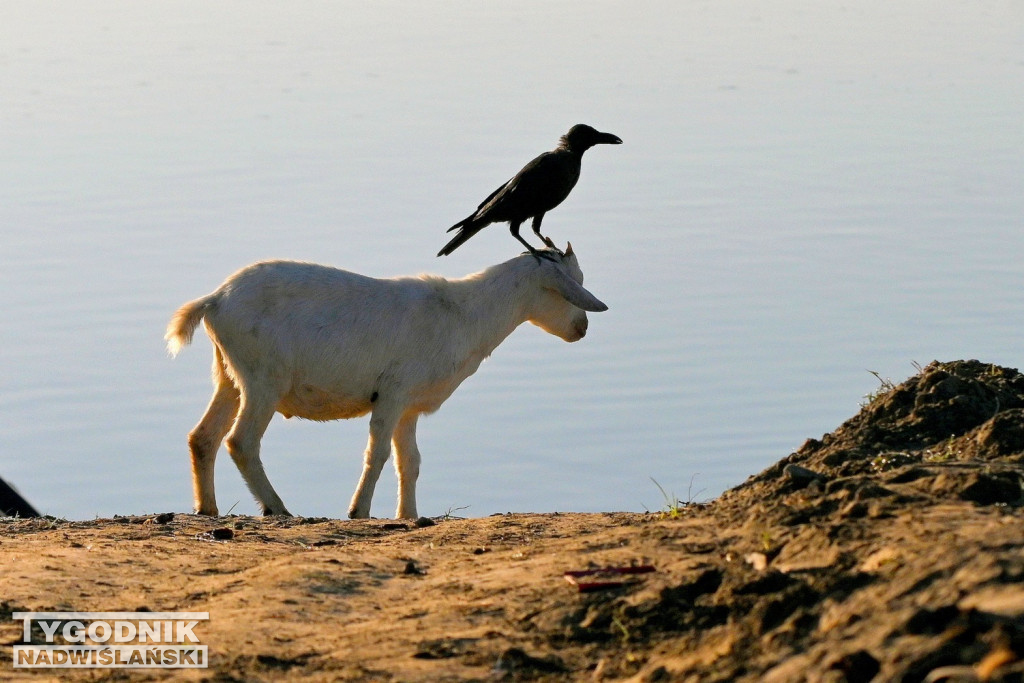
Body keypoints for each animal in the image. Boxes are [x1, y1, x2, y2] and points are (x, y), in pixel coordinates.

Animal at [163, 245, 602, 518]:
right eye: (571, 288)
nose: (582, 328)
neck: (462, 314)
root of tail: (215, 300)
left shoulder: (410, 406)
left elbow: (410, 462)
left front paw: (409, 515)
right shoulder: (391, 393)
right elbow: (377, 455)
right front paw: (359, 512)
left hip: (229, 375)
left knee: (203, 437)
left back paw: (207, 508)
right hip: (263, 379)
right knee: (241, 441)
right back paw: (279, 509)